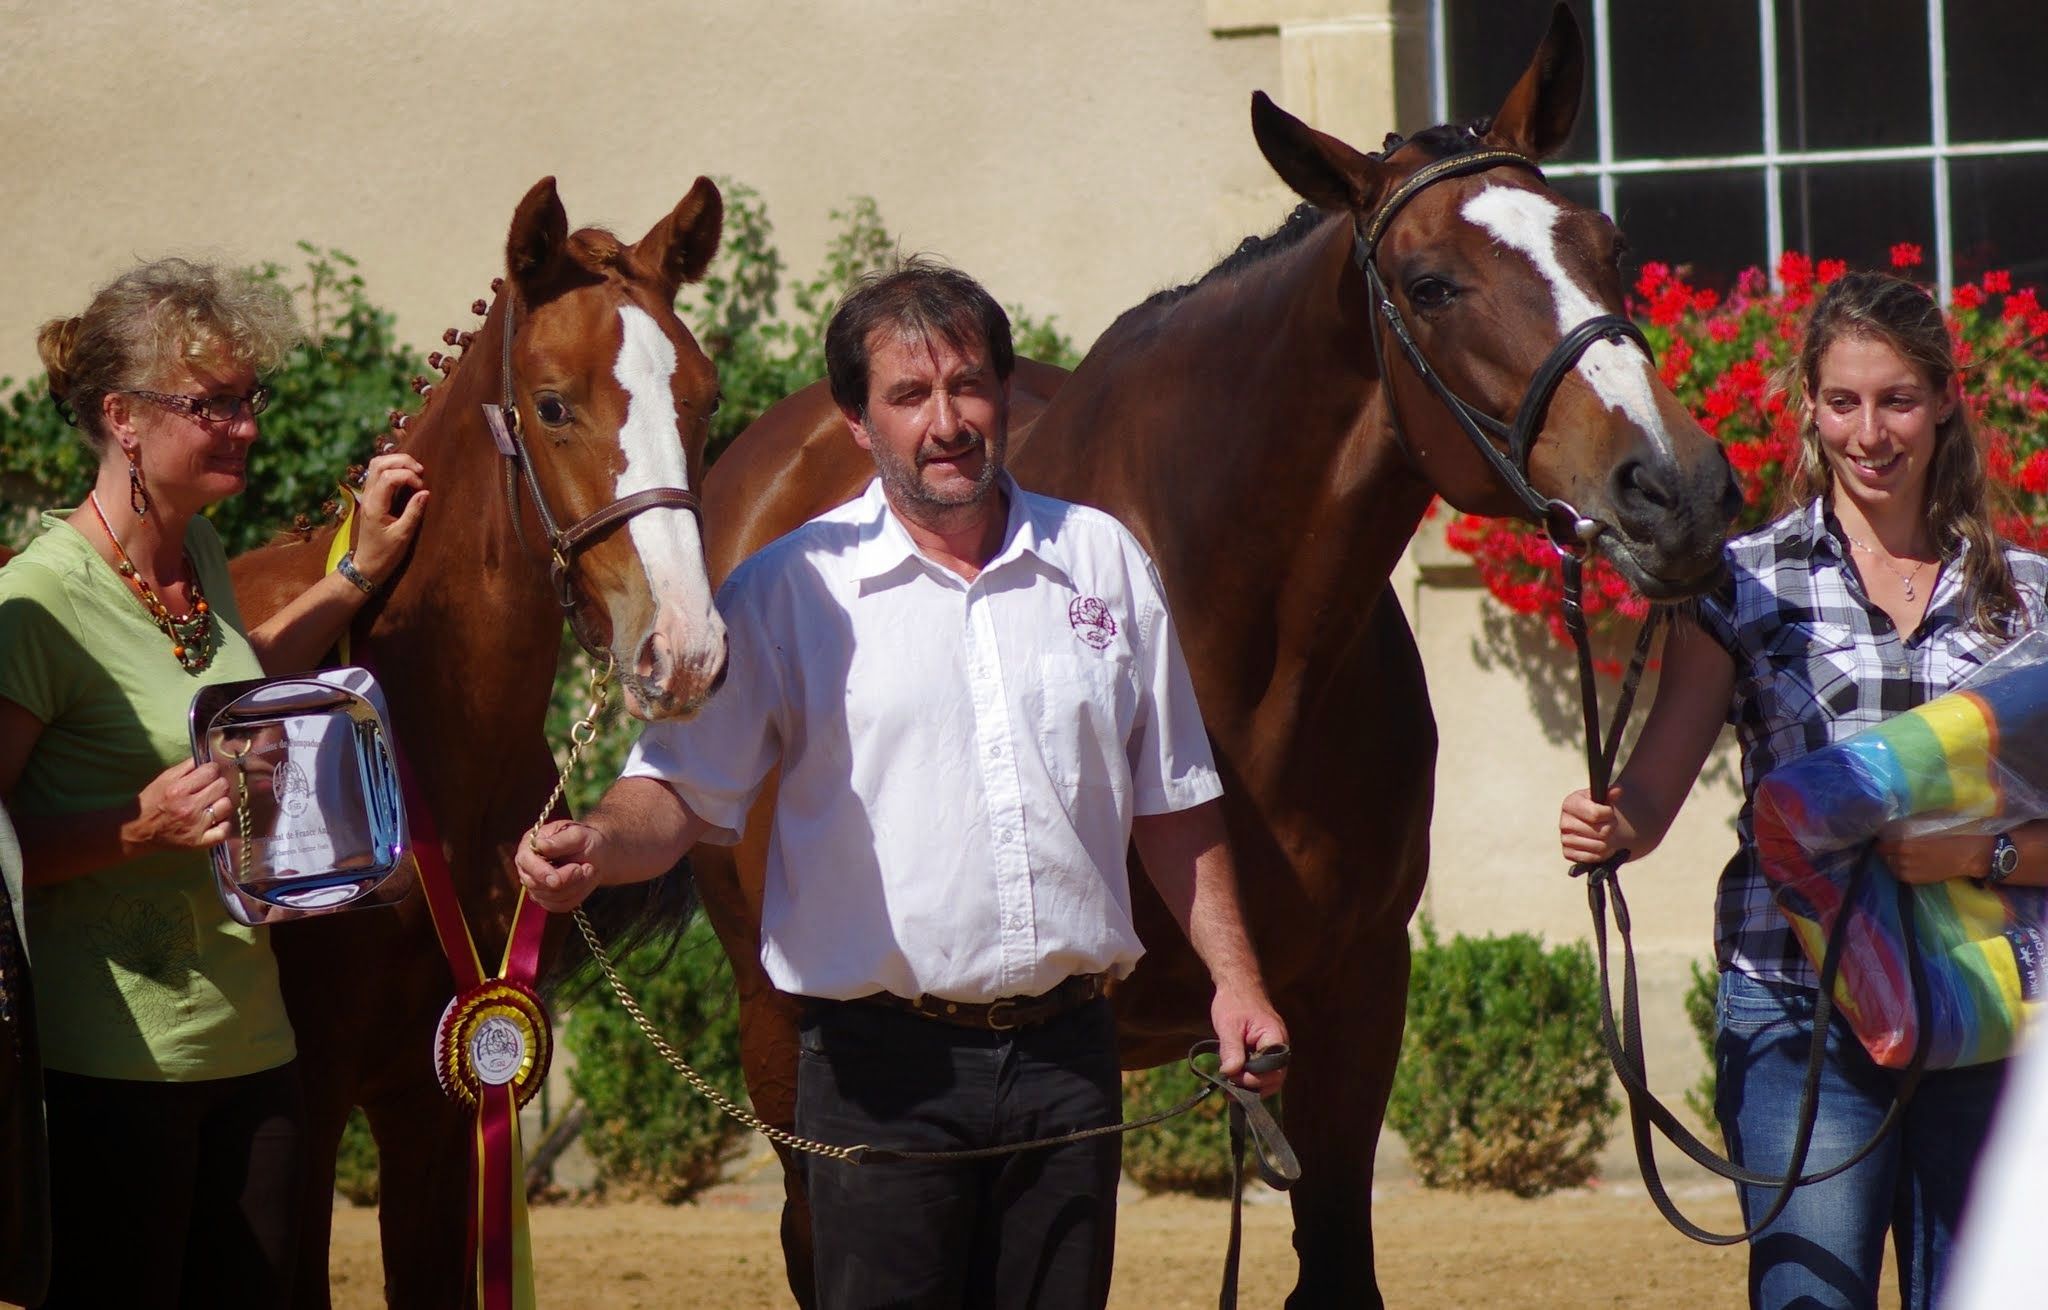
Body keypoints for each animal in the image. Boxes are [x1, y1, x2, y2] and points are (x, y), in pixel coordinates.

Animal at [696, 5, 1736, 1301]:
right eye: (1430, 284)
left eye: (1607, 242)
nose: (1677, 491)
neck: (1240, 659)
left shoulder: (1351, 996)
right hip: (782, 1030)